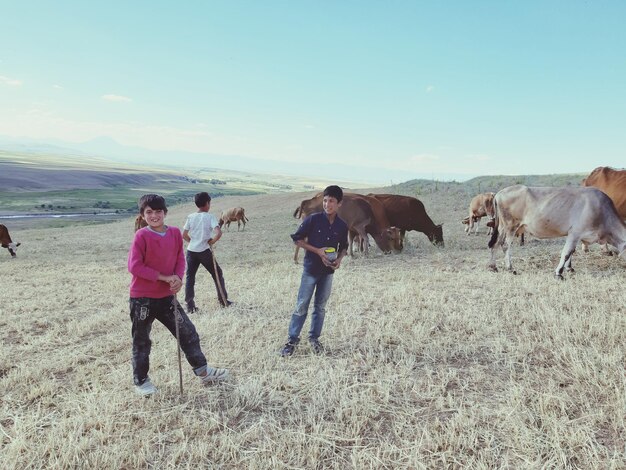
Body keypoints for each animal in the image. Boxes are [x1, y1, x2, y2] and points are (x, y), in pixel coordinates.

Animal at [488, 185, 624, 280]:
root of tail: (499, 193)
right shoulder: (575, 233)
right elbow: (566, 253)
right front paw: (559, 273)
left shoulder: (575, 235)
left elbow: (571, 251)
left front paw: (569, 268)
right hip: (511, 226)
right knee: (505, 246)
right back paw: (510, 268)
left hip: (502, 228)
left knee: (495, 244)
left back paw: (493, 267)